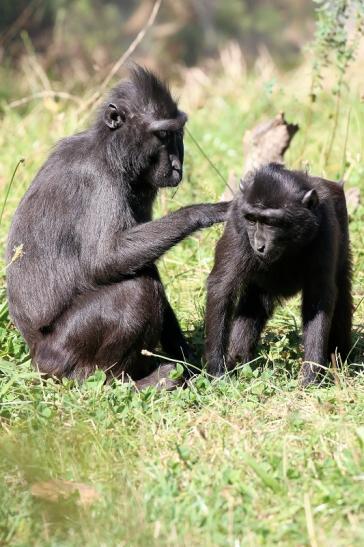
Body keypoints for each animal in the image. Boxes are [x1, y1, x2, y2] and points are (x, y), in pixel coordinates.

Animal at [7, 66, 229, 388]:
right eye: (163, 134)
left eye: (178, 132)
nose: (177, 166)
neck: (110, 149)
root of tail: (34, 356)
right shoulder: (98, 179)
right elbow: (104, 259)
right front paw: (205, 212)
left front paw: (192, 361)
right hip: (60, 353)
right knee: (136, 290)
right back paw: (122, 382)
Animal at [205, 163, 352, 386]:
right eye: (252, 219)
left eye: (271, 222)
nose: (259, 246)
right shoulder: (237, 225)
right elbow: (221, 287)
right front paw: (217, 373)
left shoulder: (325, 228)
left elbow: (318, 298)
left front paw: (311, 374)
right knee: (253, 304)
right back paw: (238, 361)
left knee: (342, 294)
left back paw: (341, 361)